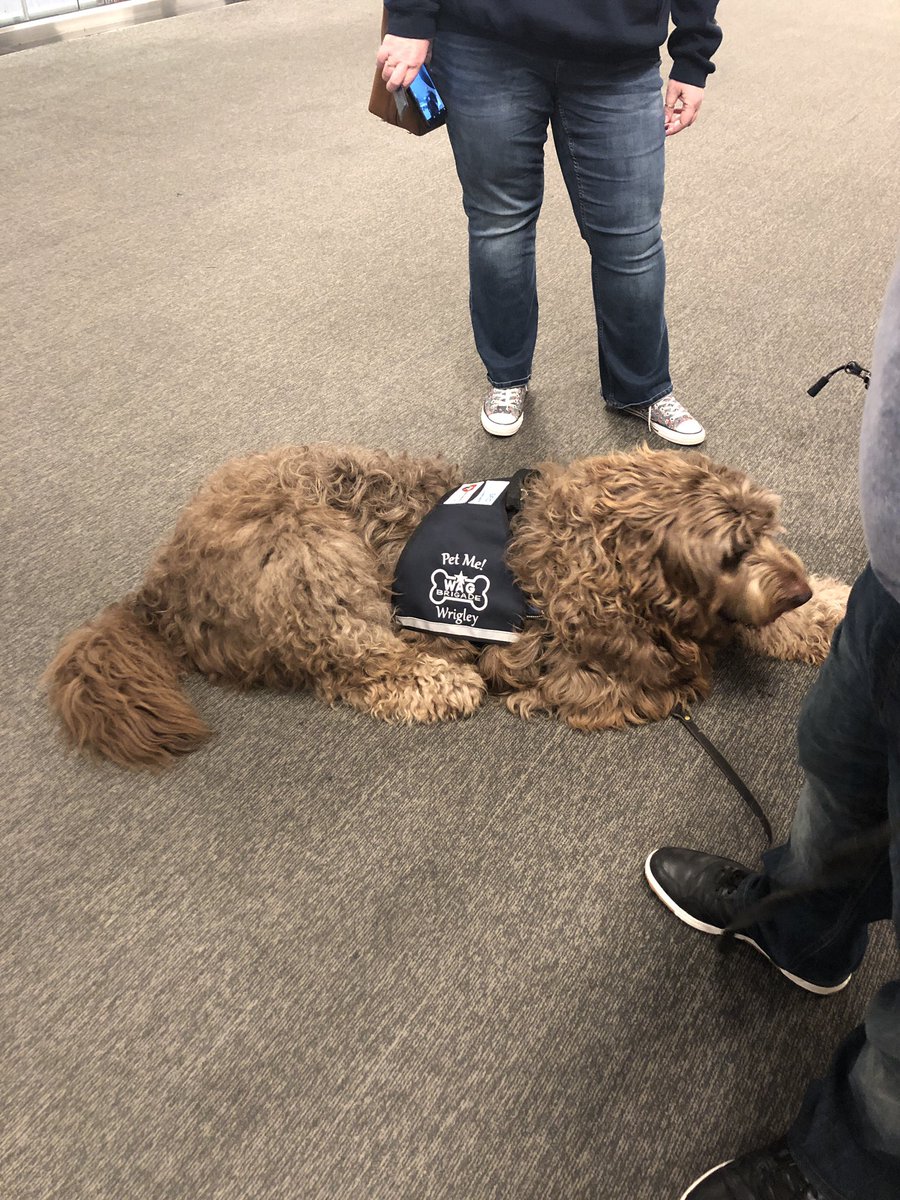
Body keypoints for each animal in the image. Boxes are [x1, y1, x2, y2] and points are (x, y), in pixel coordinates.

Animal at [45, 443, 849, 768]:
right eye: (729, 553)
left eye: (765, 529)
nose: (799, 586)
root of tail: (161, 584)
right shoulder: (569, 671)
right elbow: (671, 674)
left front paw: (830, 611)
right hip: (309, 551)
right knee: (355, 662)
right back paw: (434, 677)